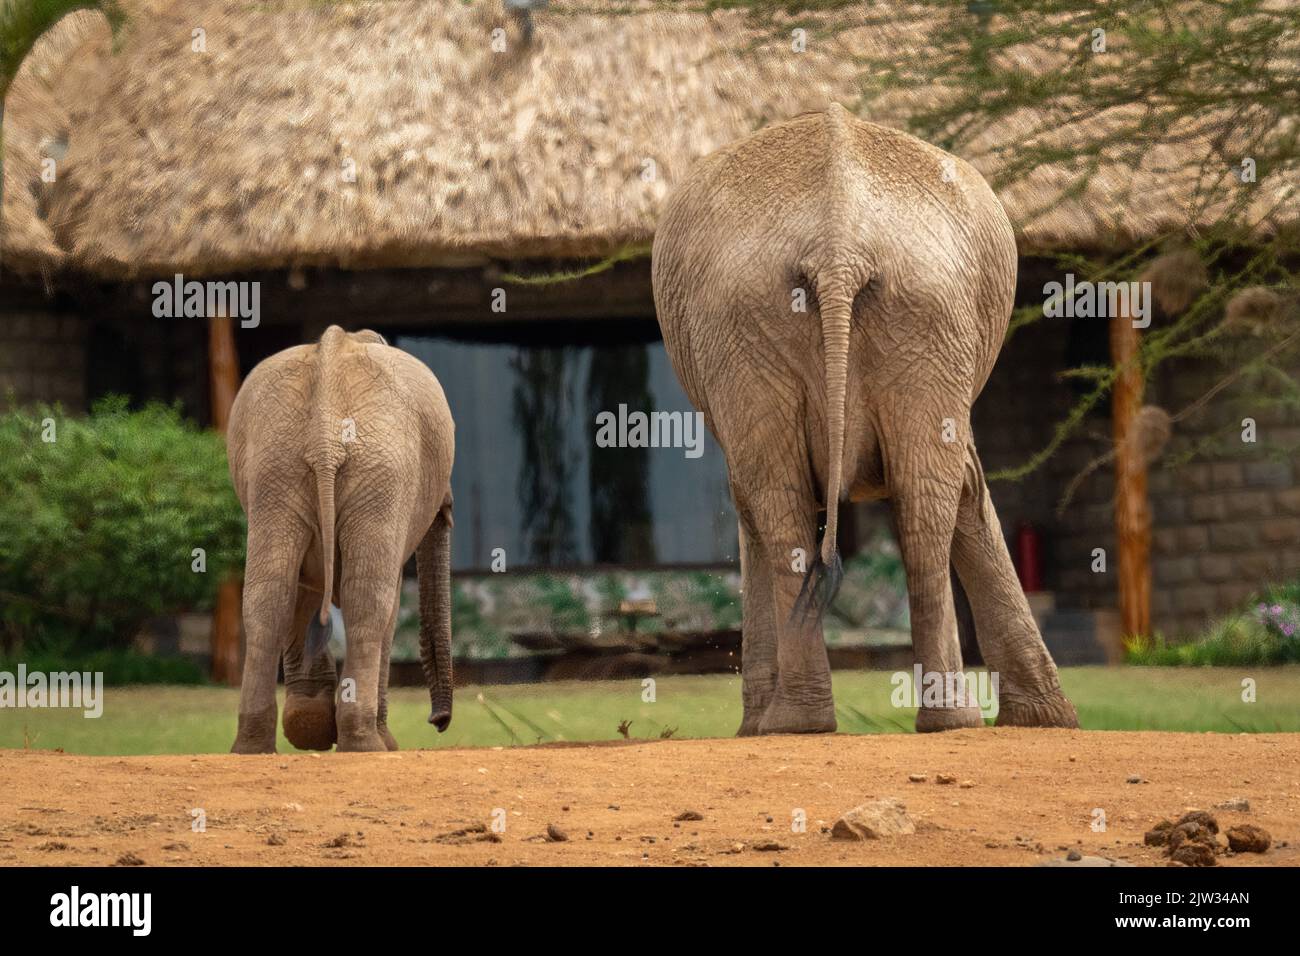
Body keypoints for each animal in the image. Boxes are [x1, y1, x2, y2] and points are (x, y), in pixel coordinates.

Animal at [226, 325, 455, 753]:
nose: (438, 722)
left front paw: (309, 727)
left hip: (276, 469)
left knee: (269, 594)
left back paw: (252, 748)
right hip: (383, 473)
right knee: (368, 600)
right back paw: (368, 744)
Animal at [652, 104, 1078, 736]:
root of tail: (839, 242)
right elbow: (966, 487)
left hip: (903, 317)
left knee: (843, 508)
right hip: (811, 322)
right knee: (892, 508)